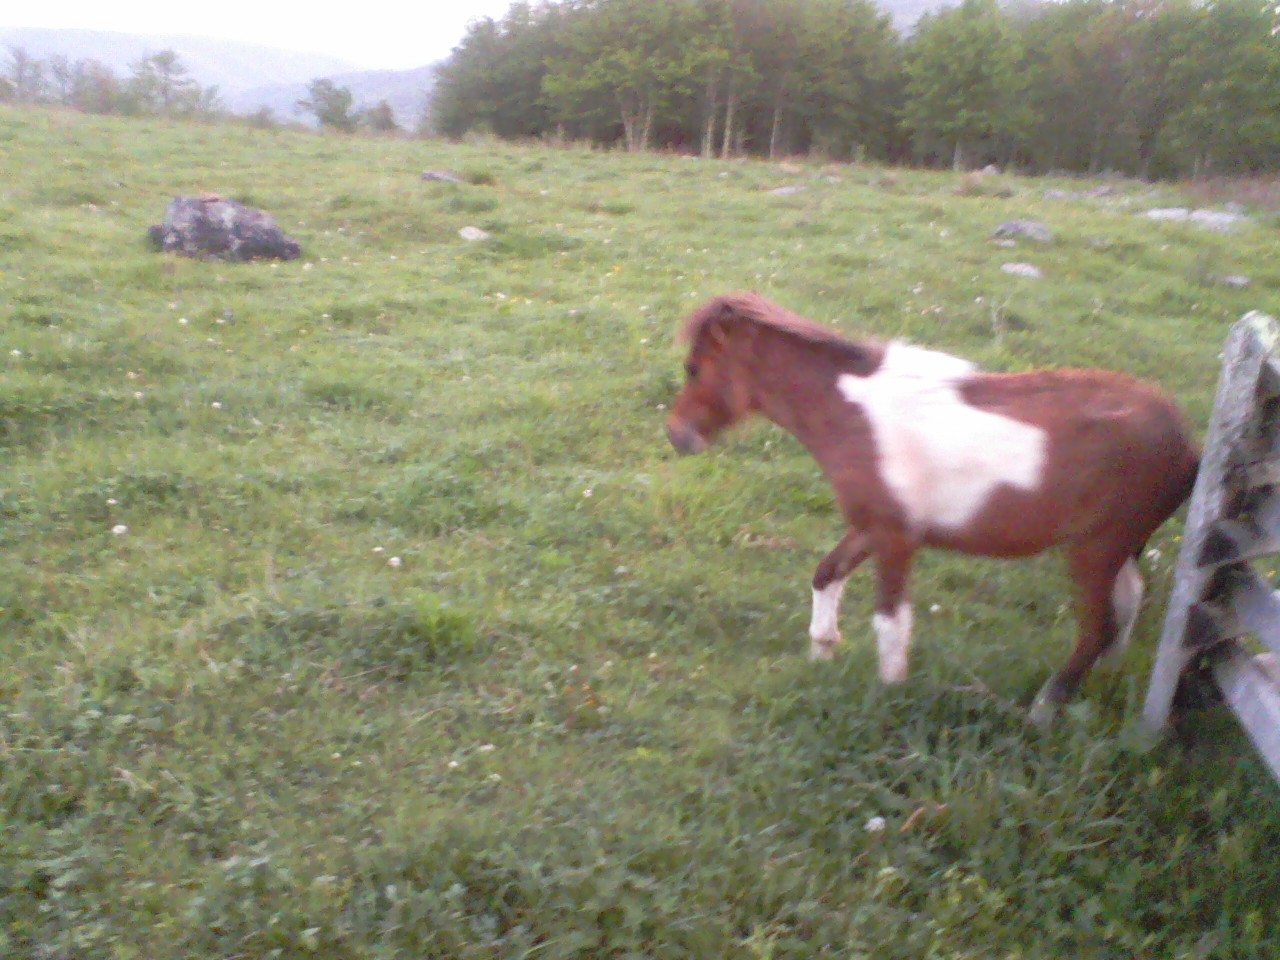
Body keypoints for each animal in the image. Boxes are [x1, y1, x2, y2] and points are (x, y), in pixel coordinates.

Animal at [666, 292, 1199, 725]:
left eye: (693, 368)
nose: (677, 435)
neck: (854, 414)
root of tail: (1188, 445)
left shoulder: (896, 538)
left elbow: (891, 622)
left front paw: (889, 695)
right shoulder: (871, 526)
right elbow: (826, 574)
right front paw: (822, 649)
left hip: (1095, 550)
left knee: (1097, 627)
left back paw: (1044, 710)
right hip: (1120, 548)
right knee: (1128, 603)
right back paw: (1107, 676)